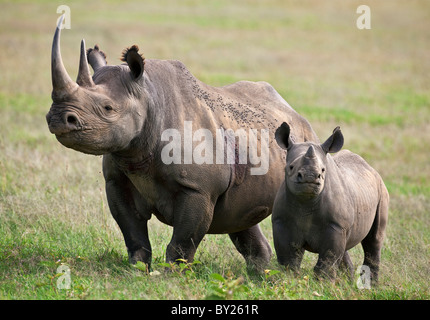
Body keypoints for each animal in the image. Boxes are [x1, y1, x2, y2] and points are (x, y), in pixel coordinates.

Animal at [46, 16, 320, 268]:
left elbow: (182, 241)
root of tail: (296, 114)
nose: (58, 118)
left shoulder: (198, 188)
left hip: (306, 147)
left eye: (107, 108)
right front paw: (137, 270)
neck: (149, 96)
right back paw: (260, 274)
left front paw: (172, 275)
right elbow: (133, 233)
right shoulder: (117, 178)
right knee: (239, 217)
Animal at [272, 121, 390, 282]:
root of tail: (370, 168)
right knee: (346, 246)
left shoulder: (336, 226)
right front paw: (290, 280)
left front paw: (323, 283)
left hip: (381, 190)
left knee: (373, 240)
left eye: (323, 170)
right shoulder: (282, 222)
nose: (310, 176)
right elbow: (289, 260)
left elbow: (328, 259)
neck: (306, 202)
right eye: (290, 167)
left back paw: (371, 285)